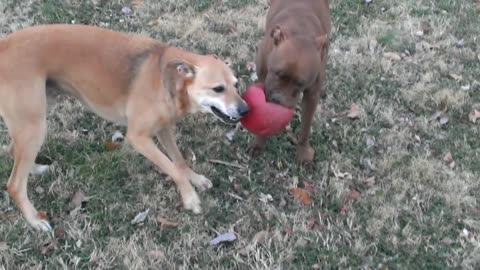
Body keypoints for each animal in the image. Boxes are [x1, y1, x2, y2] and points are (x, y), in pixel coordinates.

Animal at [0, 24, 248, 231]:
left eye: (236, 85)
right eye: (218, 88)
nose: (246, 110)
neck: (167, 79)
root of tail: (4, 45)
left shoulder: (164, 128)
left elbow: (178, 161)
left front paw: (194, 178)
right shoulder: (139, 138)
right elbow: (173, 168)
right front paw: (189, 197)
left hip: (35, 117)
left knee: (14, 152)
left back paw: (36, 169)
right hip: (34, 125)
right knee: (14, 184)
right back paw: (34, 220)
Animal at [251, 0, 330, 162]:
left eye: (300, 83)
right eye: (277, 73)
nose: (279, 100)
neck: (301, 30)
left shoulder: (311, 96)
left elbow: (305, 127)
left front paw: (303, 152)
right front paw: (258, 142)